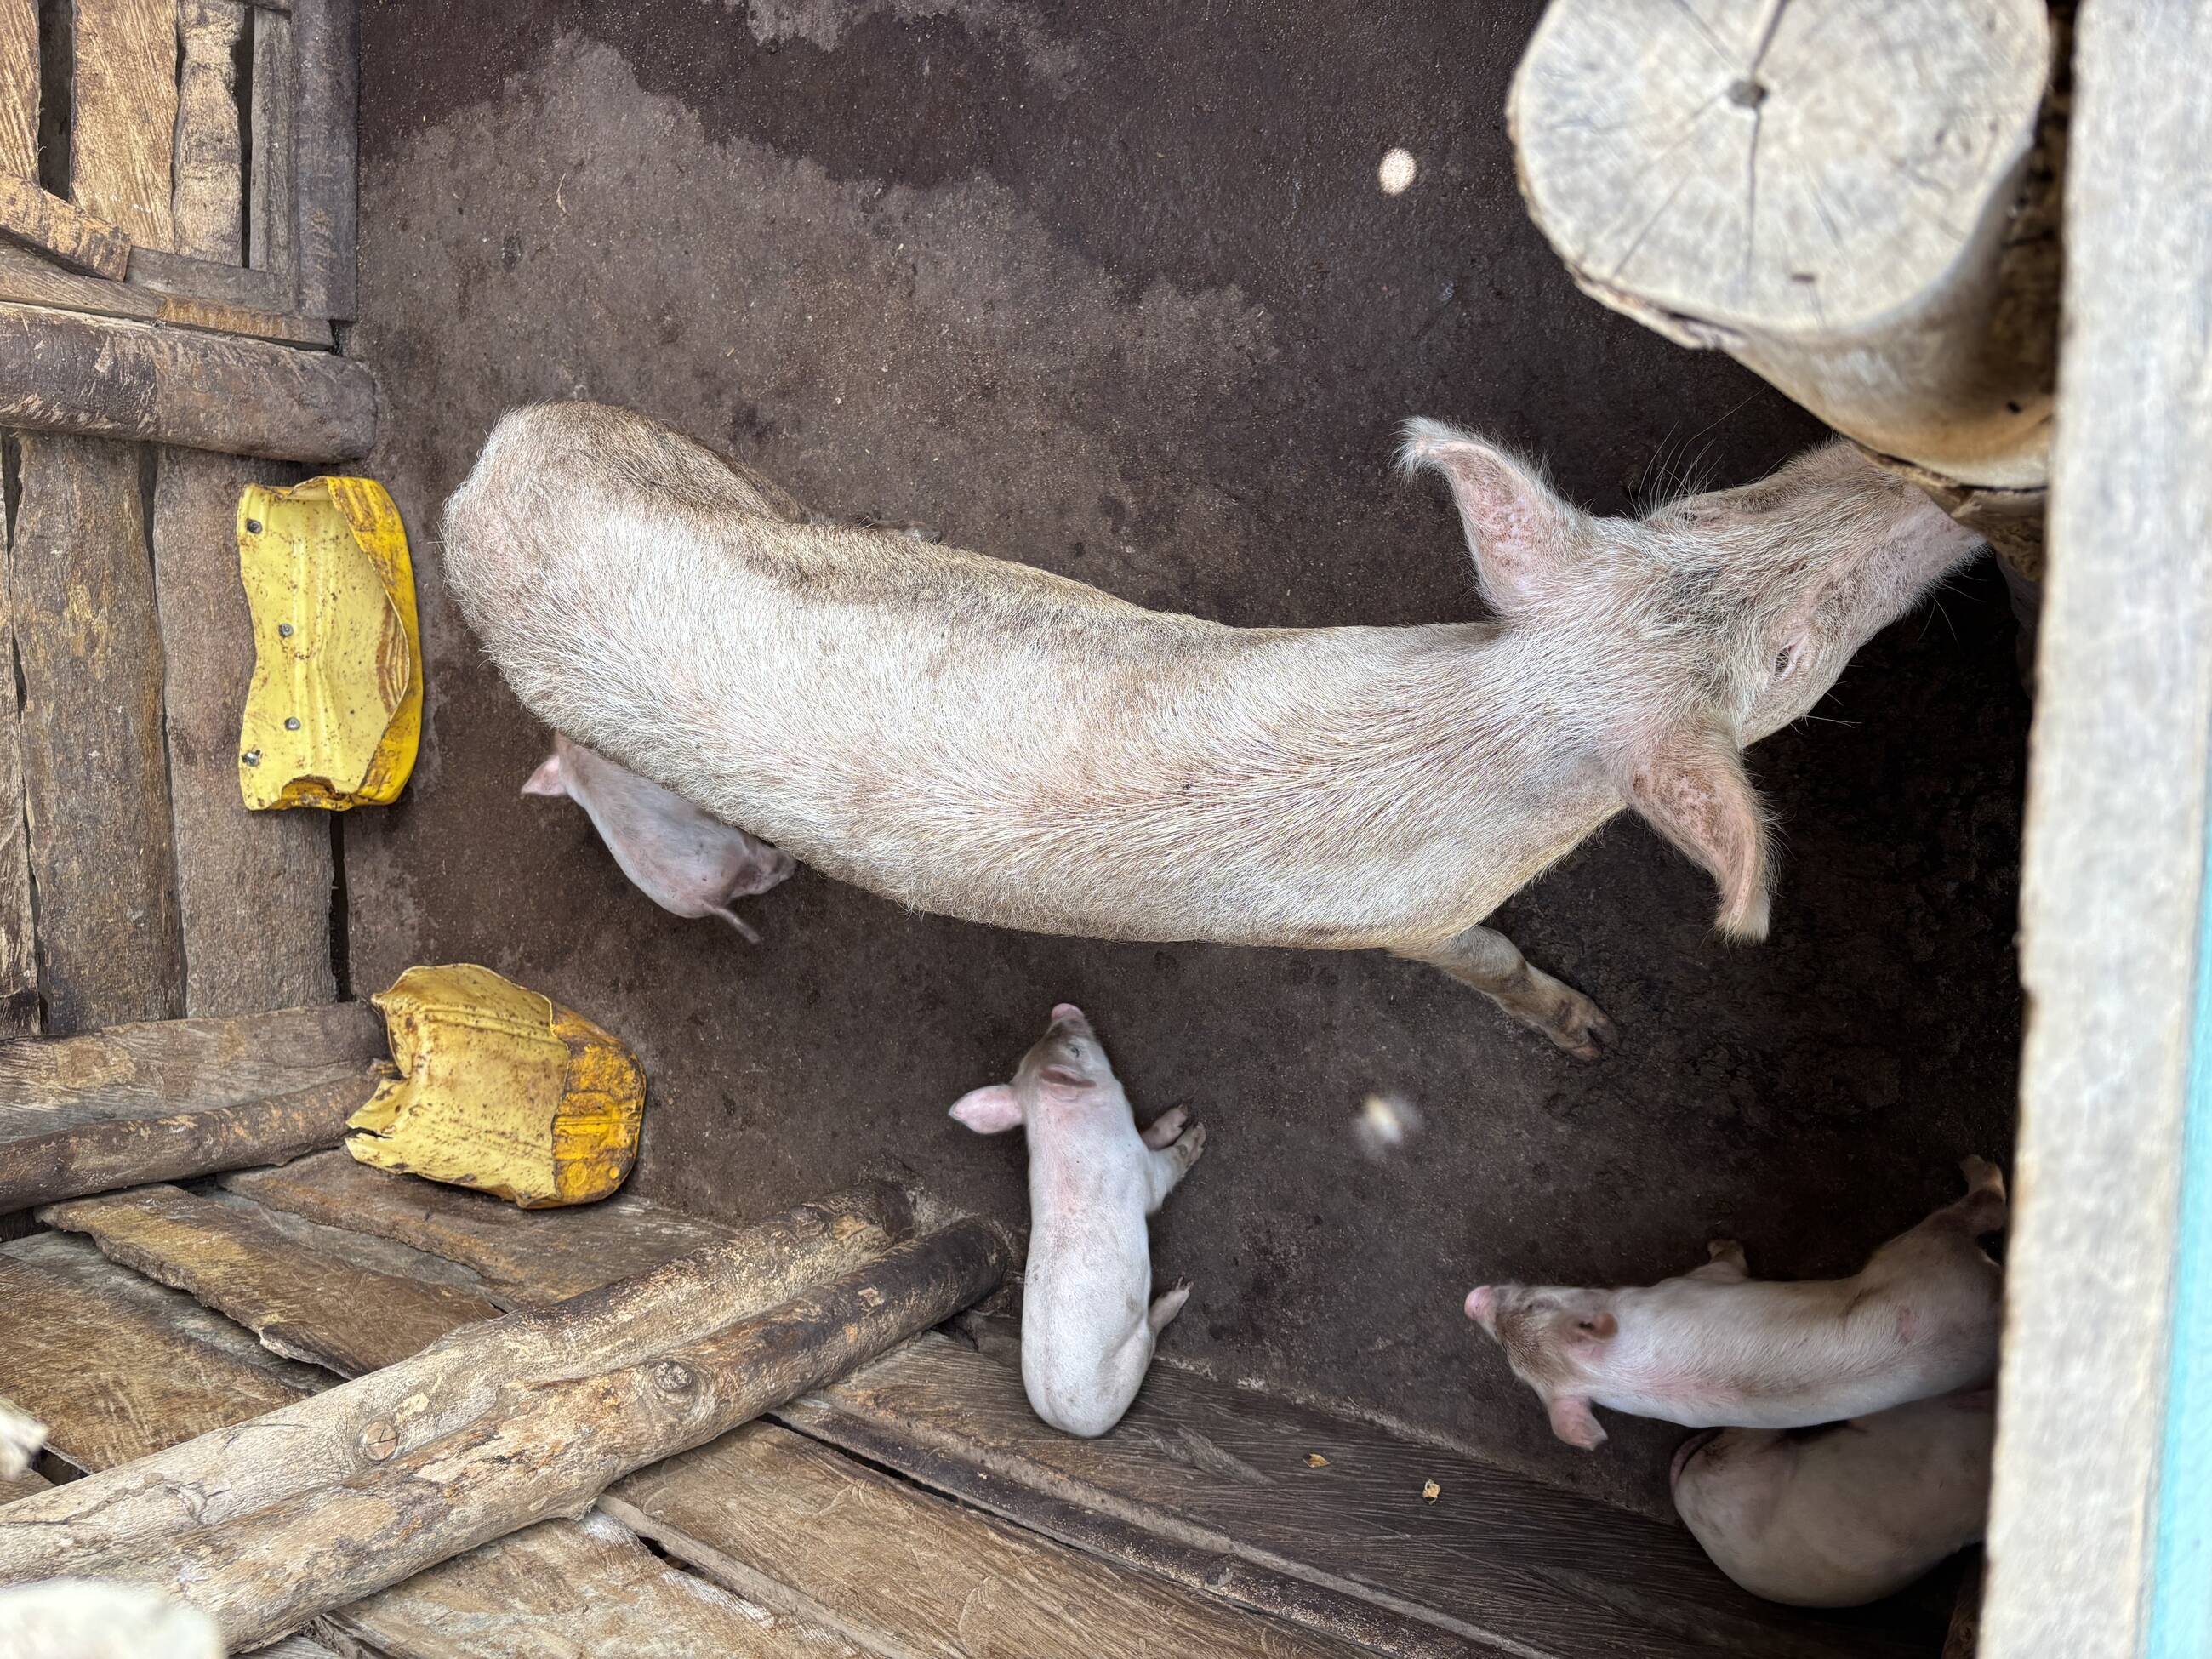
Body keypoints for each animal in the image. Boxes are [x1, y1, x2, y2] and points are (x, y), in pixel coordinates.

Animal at [949, 1004, 1204, 1437]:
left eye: (1045, 1042)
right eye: (1075, 1051)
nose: (1061, 1009)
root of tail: (1064, 1422)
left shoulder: (1136, 1143)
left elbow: (1152, 1132)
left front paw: (1182, 1112)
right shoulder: (1142, 1174)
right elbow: (1170, 1167)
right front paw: (1199, 1132)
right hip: (1132, 1354)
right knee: (1150, 1338)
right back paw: (1181, 1291)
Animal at [1465, 1157, 2006, 1449]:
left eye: (1535, 1304)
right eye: (1513, 1362)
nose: (1474, 1299)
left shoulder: (1688, 1286)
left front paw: (1717, 1236)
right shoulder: (1700, 1284)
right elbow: (1727, 1264)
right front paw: (1722, 1239)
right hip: (1923, 1249)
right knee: (1985, 1210)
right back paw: (1976, 1164)